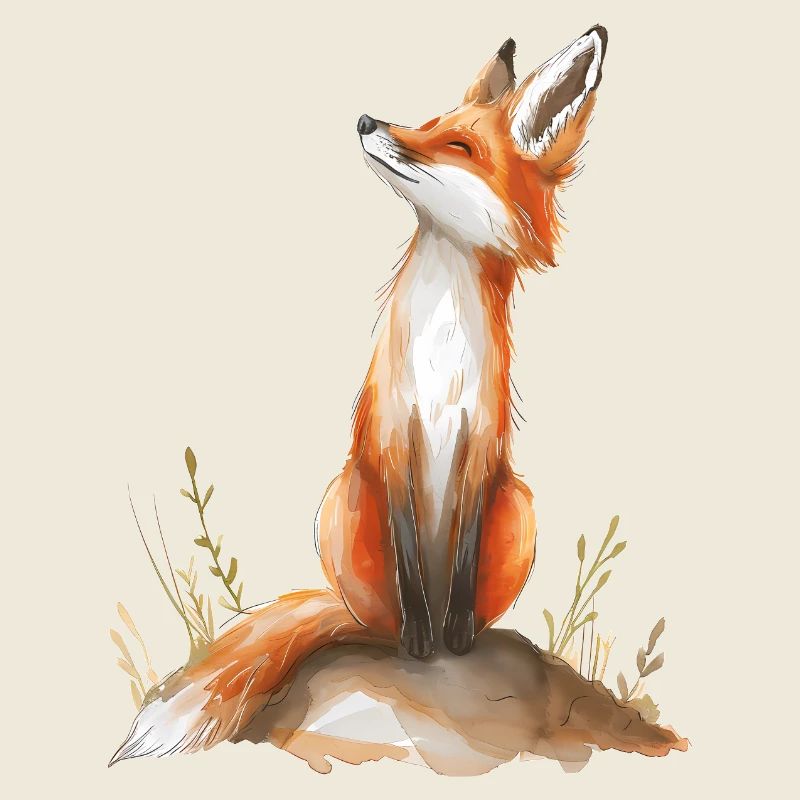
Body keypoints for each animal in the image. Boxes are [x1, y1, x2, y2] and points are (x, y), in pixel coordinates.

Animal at [111, 24, 608, 763]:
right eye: (427, 122)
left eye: (458, 146)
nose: (368, 121)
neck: (440, 355)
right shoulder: (394, 440)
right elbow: (409, 570)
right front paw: (422, 644)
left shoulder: (478, 449)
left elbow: (460, 569)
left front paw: (453, 641)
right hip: (342, 502)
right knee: (371, 620)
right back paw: (392, 637)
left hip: (518, 504)